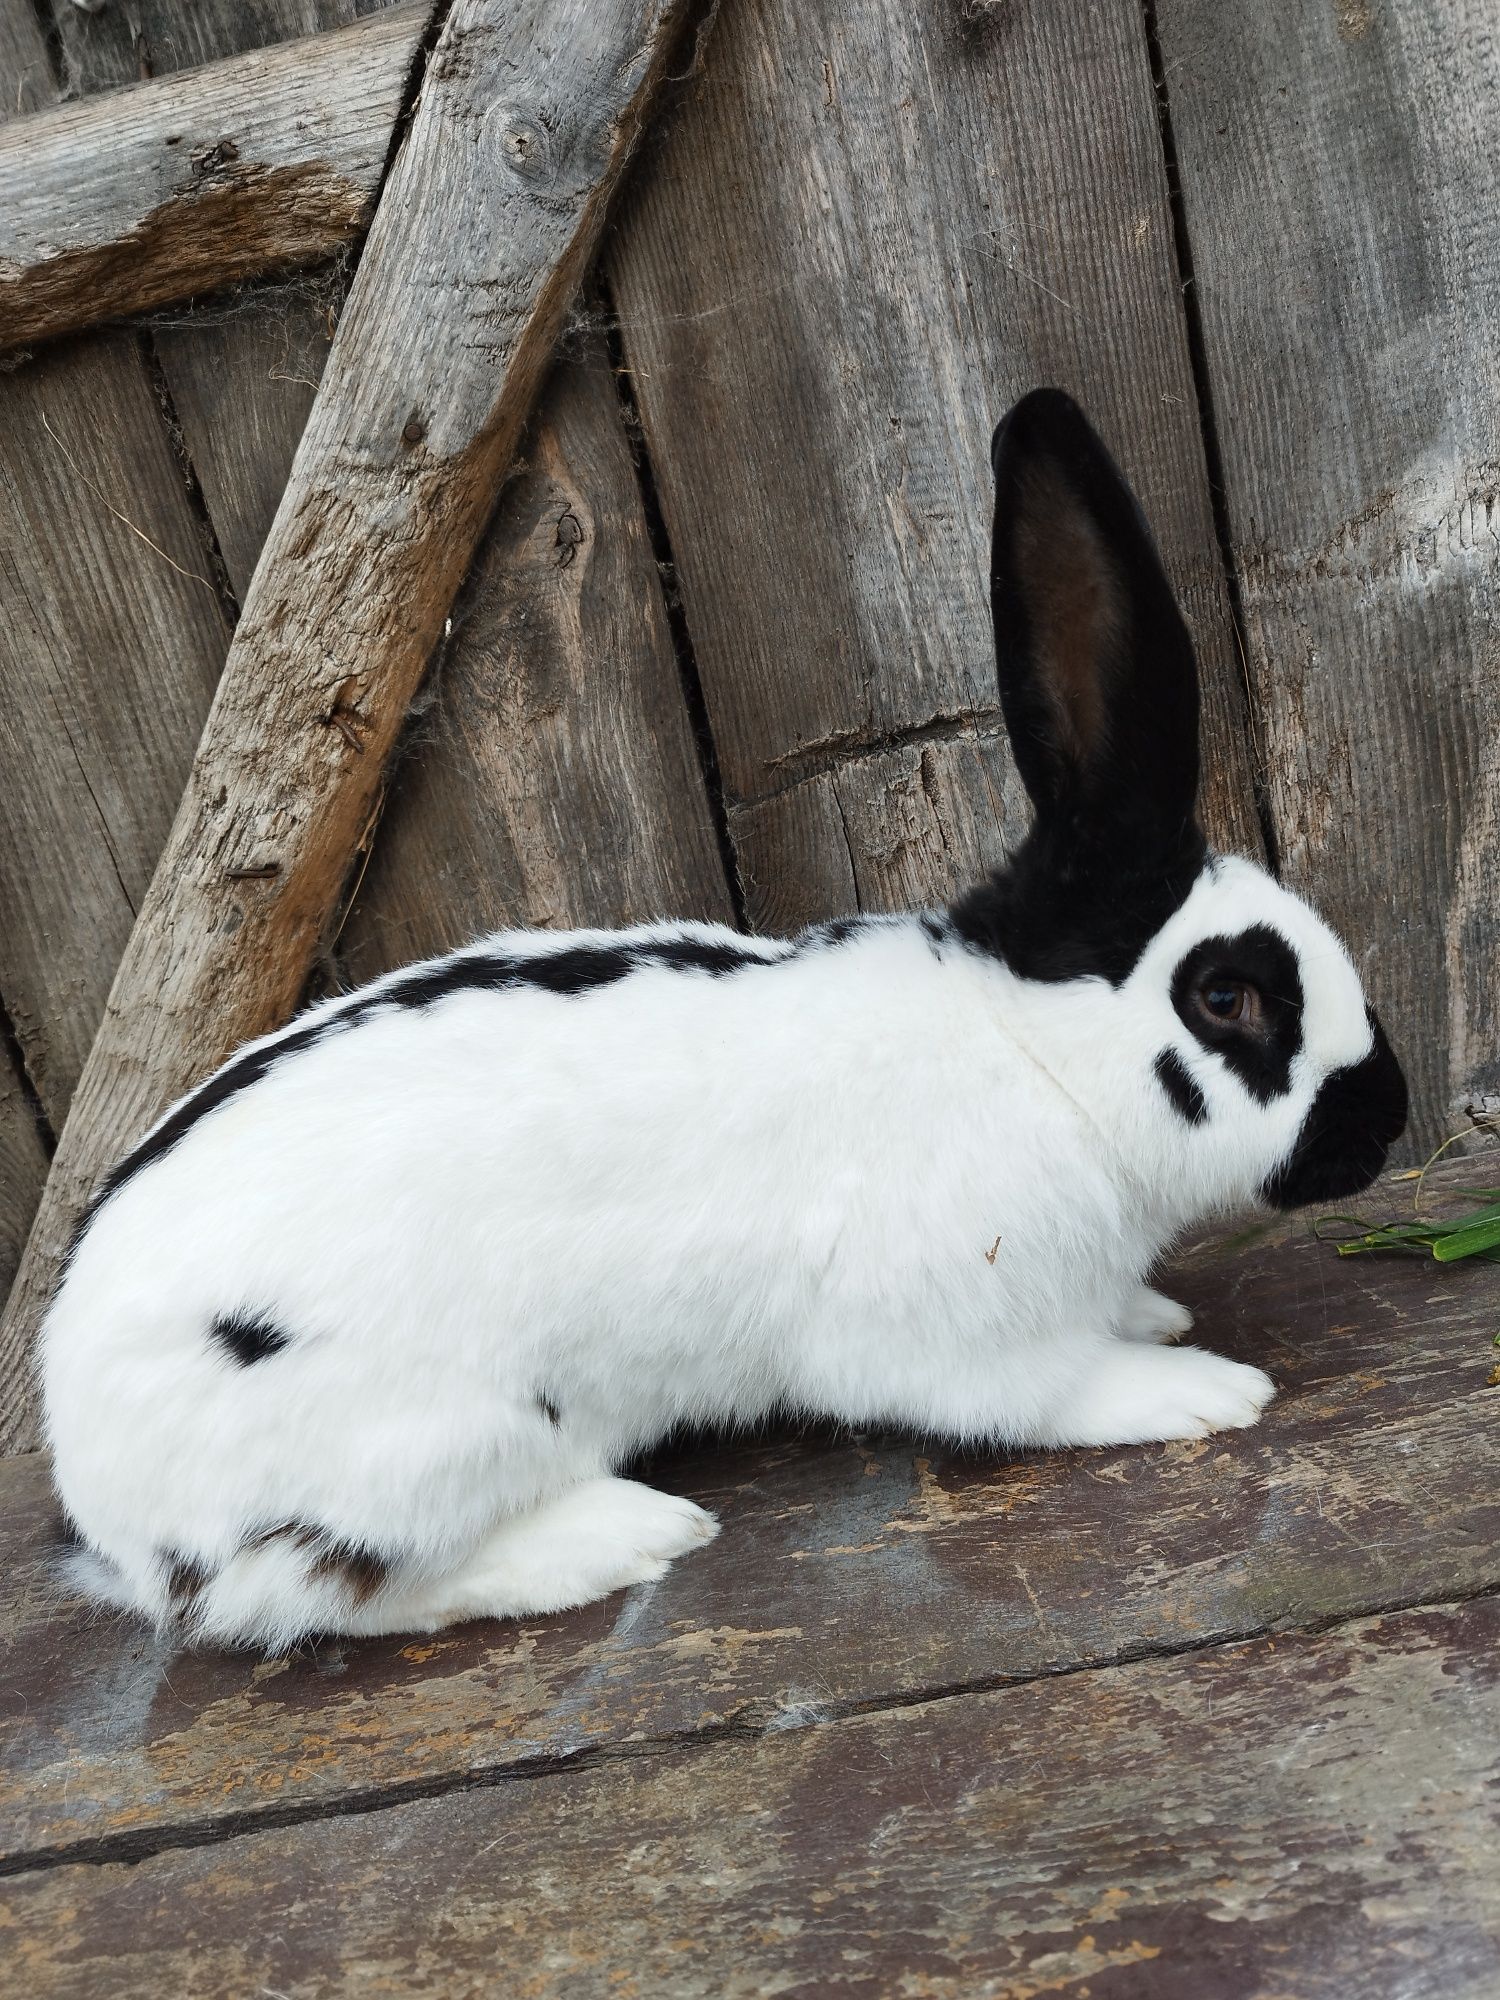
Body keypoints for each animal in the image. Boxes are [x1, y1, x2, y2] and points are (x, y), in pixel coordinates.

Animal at [44, 394, 1408, 1656]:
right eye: (1226, 997)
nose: (1386, 1115)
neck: (1031, 1052)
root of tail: (95, 1484)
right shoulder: (958, 1329)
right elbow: (1046, 1391)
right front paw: (1201, 1386)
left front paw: (1156, 1313)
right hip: (425, 1448)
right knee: (320, 1597)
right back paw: (624, 1533)